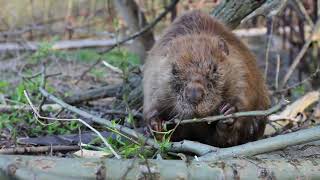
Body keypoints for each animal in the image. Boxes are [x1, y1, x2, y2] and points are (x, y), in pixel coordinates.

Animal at [142, 10, 270, 147]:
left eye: (214, 68)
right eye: (174, 70)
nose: (194, 93)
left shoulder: (240, 67)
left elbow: (245, 96)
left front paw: (228, 111)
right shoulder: (154, 76)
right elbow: (151, 104)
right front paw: (155, 124)